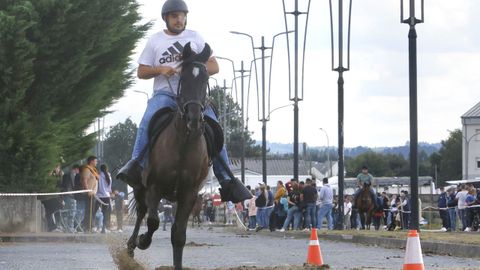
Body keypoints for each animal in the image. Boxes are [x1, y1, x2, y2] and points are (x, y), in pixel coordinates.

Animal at [126, 42, 211, 270]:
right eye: (183, 78)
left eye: (205, 79)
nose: (193, 119)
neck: (183, 143)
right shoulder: (154, 187)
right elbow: (153, 222)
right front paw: (143, 241)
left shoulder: (189, 194)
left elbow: (178, 235)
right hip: (140, 188)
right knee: (141, 212)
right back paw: (131, 245)